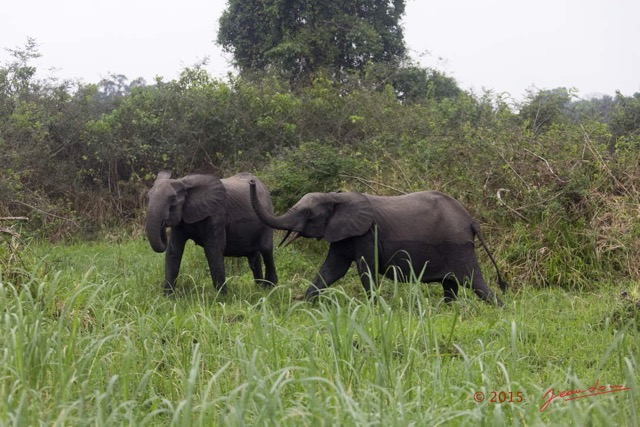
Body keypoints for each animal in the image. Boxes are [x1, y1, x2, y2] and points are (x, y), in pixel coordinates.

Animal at [148, 172, 278, 296]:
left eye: (173, 199)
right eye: (148, 196)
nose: (163, 225)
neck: (183, 183)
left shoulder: (216, 215)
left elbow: (213, 250)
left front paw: (222, 298)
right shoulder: (180, 221)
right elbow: (174, 251)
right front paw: (167, 298)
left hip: (267, 215)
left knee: (265, 249)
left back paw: (269, 288)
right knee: (254, 256)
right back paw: (259, 289)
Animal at [249, 182, 504, 306]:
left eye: (308, 214)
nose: (251, 181)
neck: (336, 197)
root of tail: (471, 221)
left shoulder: (367, 234)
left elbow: (365, 269)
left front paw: (374, 308)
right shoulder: (345, 234)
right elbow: (332, 269)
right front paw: (304, 303)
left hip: (458, 246)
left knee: (475, 282)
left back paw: (501, 309)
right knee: (451, 285)